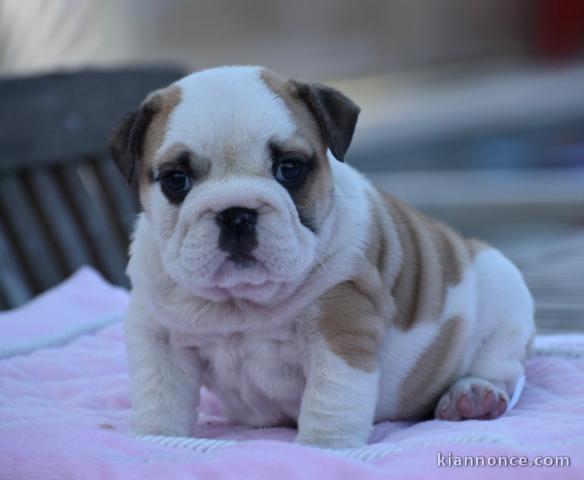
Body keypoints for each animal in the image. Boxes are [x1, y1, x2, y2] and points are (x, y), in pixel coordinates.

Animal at [108, 65, 532, 448]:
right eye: (176, 180)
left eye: (289, 169)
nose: (236, 213)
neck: (241, 302)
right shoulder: (159, 337)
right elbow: (160, 396)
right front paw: (154, 440)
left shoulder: (341, 333)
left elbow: (331, 402)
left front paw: (323, 447)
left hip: (503, 289)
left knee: (501, 366)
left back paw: (472, 395)